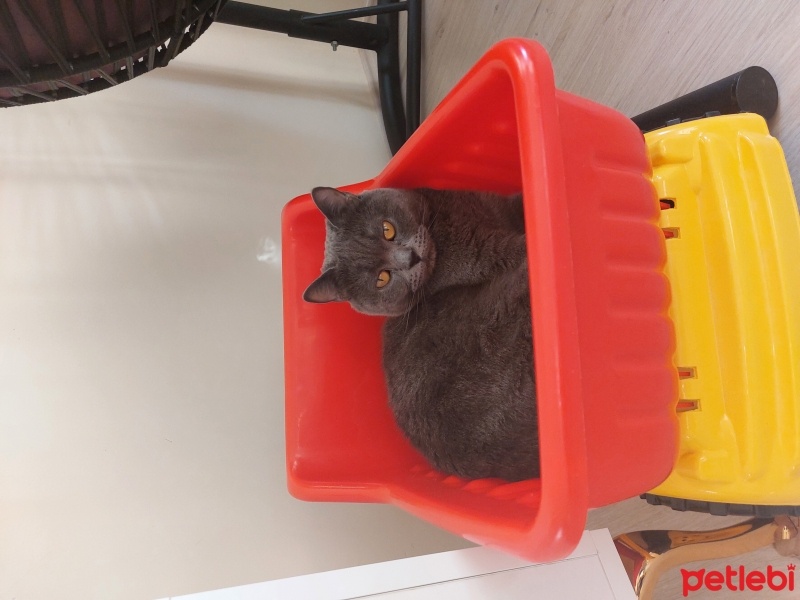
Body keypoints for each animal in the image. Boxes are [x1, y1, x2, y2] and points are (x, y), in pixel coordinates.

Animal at [304, 188, 540, 482]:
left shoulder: (498, 207)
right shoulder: (493, 255)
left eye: (387, 229)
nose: (411, 258)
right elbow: (521, 246)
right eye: (382, 278)